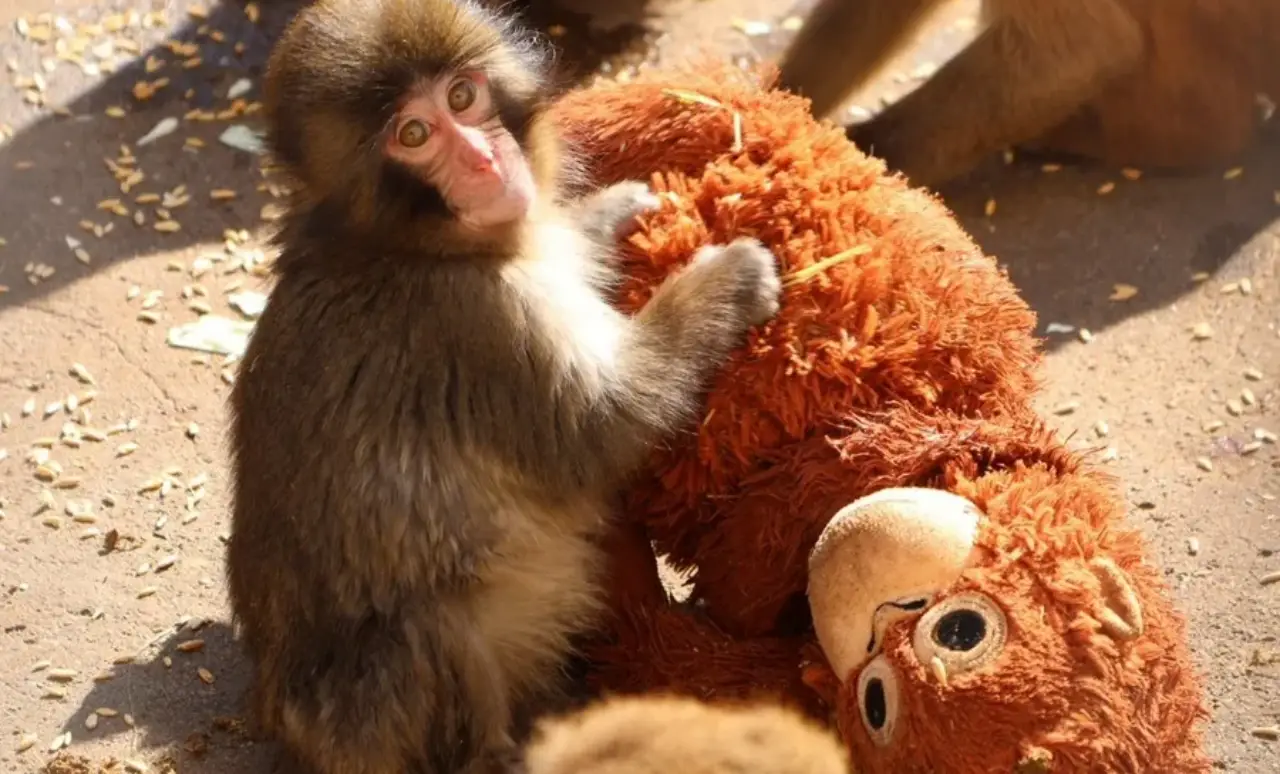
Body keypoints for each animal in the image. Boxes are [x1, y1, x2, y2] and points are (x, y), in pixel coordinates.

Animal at [224, 1, 783, 773]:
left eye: (463, 96)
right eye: (414, 134)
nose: (485, 161)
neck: (405, 245)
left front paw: (609, 212)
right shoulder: (480, 321)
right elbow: (600, 429)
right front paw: (724, 281)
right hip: (366, 717)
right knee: (428, 627)